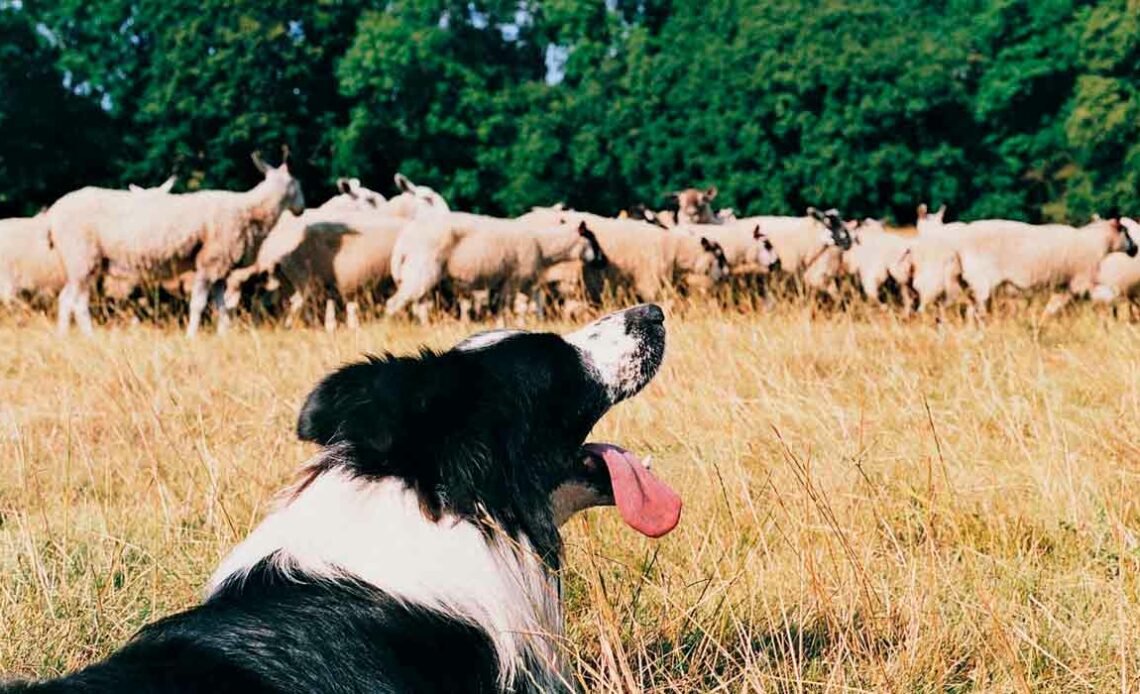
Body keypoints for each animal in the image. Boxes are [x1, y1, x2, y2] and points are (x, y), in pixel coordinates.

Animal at [51, 151, 305, 335]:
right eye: (297, 183)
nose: (301, 209)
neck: (250, 210)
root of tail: (53, 214)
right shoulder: (210, 262)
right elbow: (199, 304)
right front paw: (192, 336)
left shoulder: (219, 269)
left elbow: (221, 306)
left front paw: (223, 335)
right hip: (82, 255)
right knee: (78, 302)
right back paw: (89, 336)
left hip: (79, 262)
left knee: (65, 299)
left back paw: (63, 337)